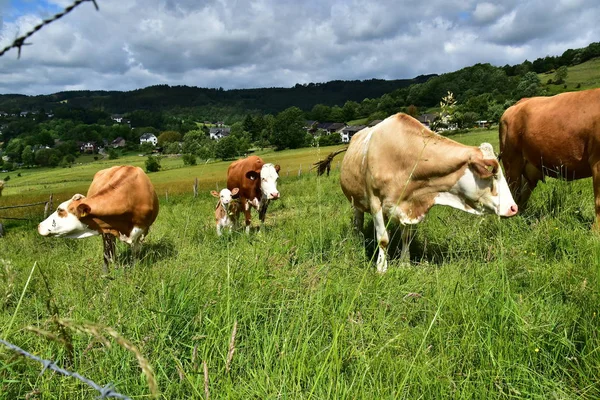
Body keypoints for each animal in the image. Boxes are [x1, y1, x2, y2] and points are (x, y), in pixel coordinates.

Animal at [340, 114, 516, 274]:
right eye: (493, 172)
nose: (513, 208)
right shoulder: (375, 201)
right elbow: (383, 239)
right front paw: (381, 268)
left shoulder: (409, 205)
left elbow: (406, 237)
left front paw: (405, 264)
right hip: (355, 201)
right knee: (358, 221)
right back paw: (357, 238)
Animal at [500, 88, 600, 225]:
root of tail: (519, 103)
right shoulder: (597, 161)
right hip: (512, 162)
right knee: (512, 193)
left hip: (527, 169)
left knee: (521, 197)